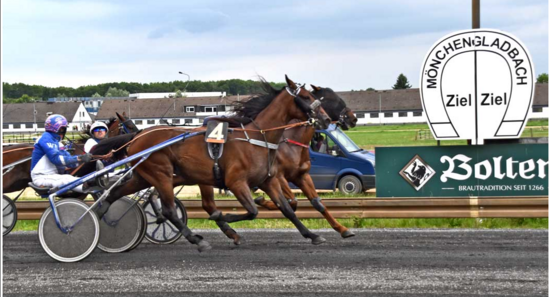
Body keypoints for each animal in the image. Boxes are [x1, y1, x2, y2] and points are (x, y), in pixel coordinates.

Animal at [91, 75, 332, 251]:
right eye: (306, 96)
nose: (327, 119)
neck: (257, 138)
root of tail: (137, 137)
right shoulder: (236, 182)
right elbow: (252, 210)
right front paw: (224, 217)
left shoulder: (268, 180)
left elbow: (288, 209)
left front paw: (312, 235)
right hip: (161, 175)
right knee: (169, 211)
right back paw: (198, 240)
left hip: (144, 176)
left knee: (114, 195)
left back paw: (98, 223)